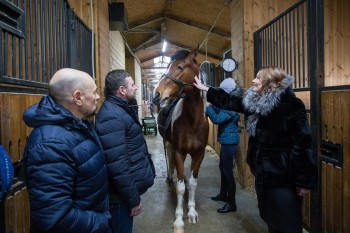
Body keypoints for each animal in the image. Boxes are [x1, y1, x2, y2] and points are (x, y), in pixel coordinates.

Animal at [152, 46, 208, 232]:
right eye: (168, 66)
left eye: (181, 67)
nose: (156, 95)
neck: (193, 121)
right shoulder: (179, 152)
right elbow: (181, 187)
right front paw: (178, 220)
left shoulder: (199, 154)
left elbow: (192, 183)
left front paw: (191, 212)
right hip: (168, 144)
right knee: (170, 161)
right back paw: (170, 177)